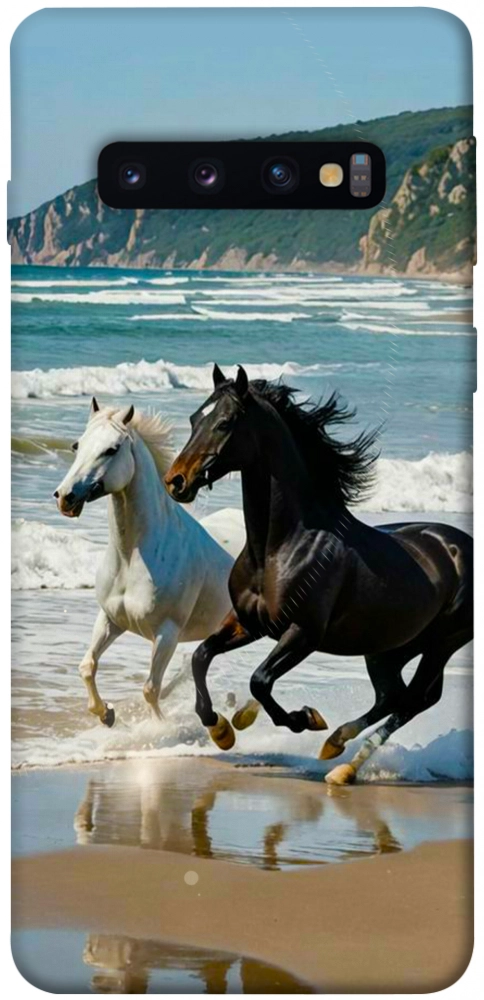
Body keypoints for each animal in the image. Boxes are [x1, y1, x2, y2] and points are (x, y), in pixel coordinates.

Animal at [54, 396, 233, 726]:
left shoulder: (166, 633)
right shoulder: (111, 619)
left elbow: (150, 689)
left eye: (112, 449)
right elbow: (87, 666)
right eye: (77, 445)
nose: (65, 497)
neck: (132, 558)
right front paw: (106, 714)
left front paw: (158, 729)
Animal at [165, 365, 473, 784]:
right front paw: (222, 729)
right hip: (389, 647)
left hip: (442, 643)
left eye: (225, 423)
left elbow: (260, 681)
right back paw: (336, 746)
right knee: (393, 696)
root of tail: (462, 545)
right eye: (195, 418)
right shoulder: (249, 623)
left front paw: (304, 719)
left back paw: (342, 765)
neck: (280, 547)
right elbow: (201, 656)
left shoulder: (303, 633)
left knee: (413, 700)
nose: (176, 481)